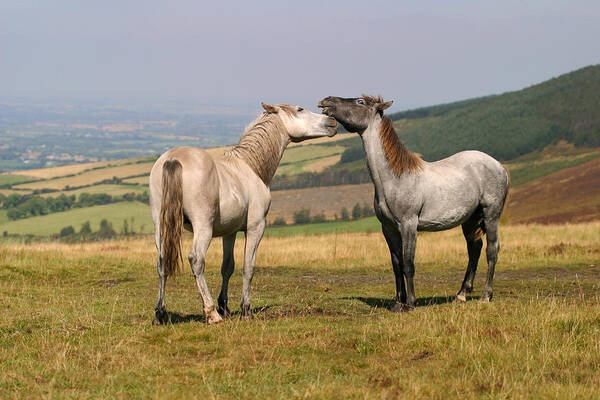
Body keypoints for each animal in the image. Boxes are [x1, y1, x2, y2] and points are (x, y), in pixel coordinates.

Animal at [149, 101, 338, 324]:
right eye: (300, 109)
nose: (332, 121)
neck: (250, 167)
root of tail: (173, 159)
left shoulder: (229, 232)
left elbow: (227, 267)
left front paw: (225, 306)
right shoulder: (256, 227)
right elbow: (248, 267)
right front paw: (245, 310)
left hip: (161, 226)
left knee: (162, 263)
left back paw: (160, 314)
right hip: (202, 226)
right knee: (196, 260)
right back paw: (211, 313)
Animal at [316, 95, 508, 310]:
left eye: (360, 102)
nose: (326, 101)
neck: (395, 179)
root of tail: (499, 166)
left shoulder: (408, 224)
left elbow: (408, 263)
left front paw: (410, 303)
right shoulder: (389, 228)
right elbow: (396, 264)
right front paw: (397, 303)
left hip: (491, 215)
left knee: (492, 250)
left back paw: (486, 296)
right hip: (470, 219)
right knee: (474, 250)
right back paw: (461, 295)